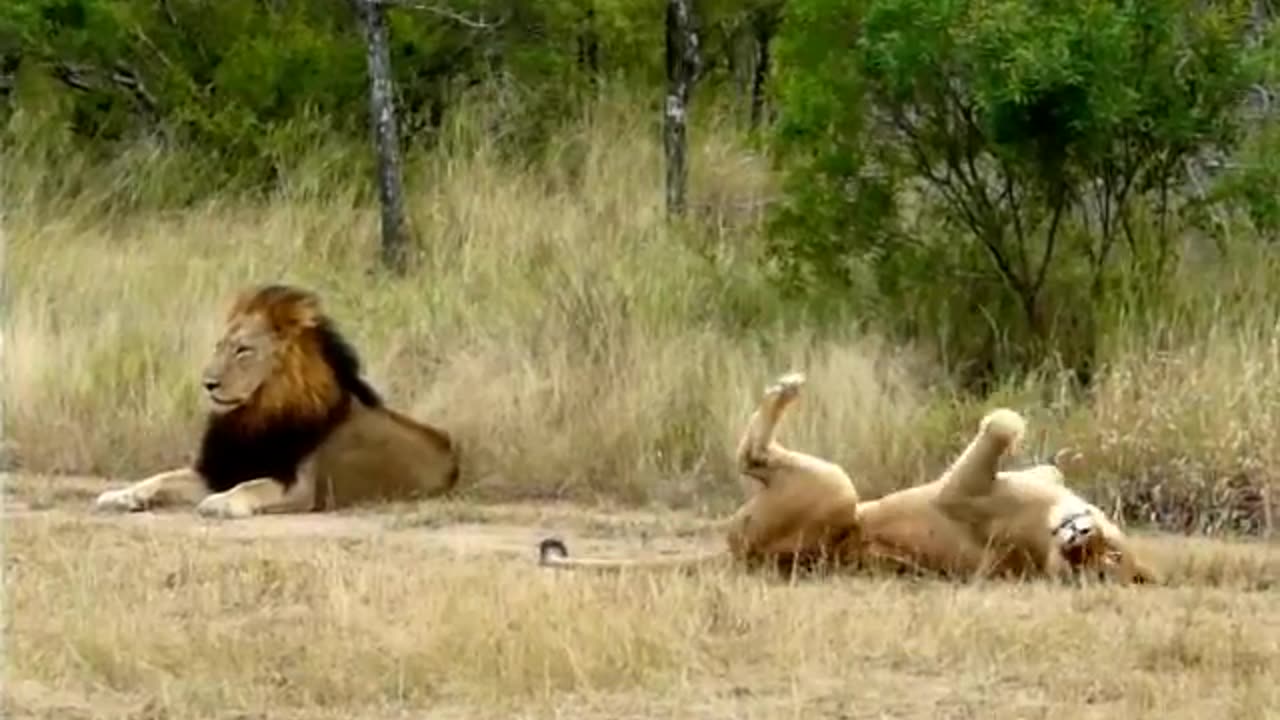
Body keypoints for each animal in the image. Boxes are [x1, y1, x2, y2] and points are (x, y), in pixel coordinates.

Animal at [96, 281, 465, 515]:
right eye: (219, 346)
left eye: (243, 350)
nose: (208, 383)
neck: (255, 413)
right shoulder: (219, 471)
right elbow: (161, 477)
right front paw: (120, 496)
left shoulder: (301, 487)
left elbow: (253, 486)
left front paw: (221, 503)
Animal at [535, 368, 1157, 584]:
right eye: (1111, 554)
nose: (1079, 541)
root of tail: (743, 556)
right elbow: (1030, 444)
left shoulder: (962, 488)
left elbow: (1003, 422)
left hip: (835, 488)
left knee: (750, 457)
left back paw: (786, 387)